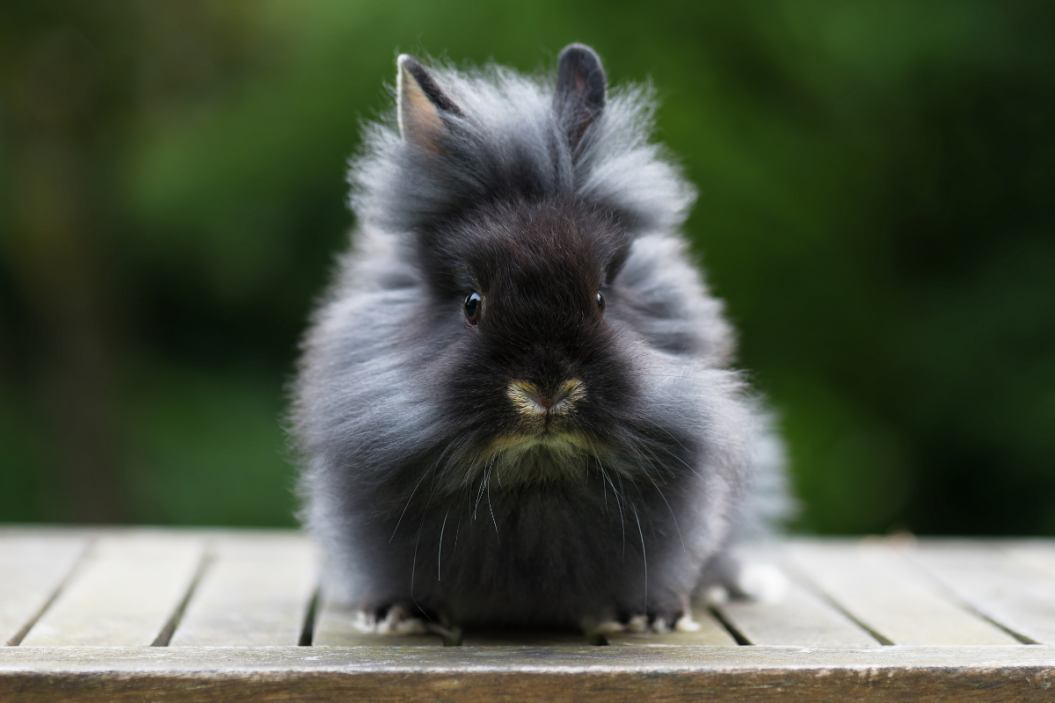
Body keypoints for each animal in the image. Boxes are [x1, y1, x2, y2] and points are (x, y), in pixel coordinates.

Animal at [291, 44, 790, 638]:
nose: (547, 392)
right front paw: (396, 615)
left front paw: (652, 617)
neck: (536, 479)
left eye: (601, 298)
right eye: (472, 303)